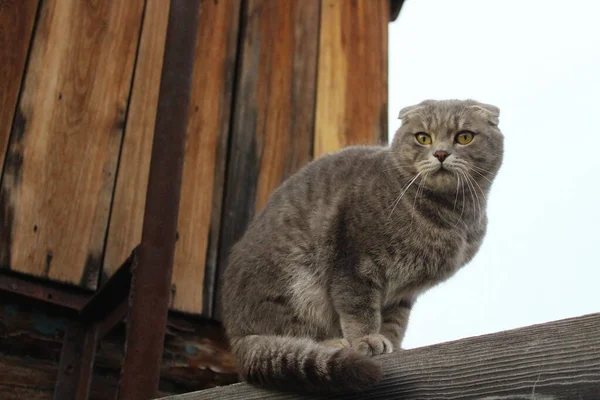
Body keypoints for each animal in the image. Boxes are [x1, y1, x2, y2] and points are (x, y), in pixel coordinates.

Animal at [219, 98, 502, 392]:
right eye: (423, 137)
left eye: (464, 137)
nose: (441, 153)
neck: (450, 215)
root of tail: (237, 336)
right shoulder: (354, 262)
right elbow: (359, 309)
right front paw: (367, 340)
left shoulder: (403, 292)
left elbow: (395, 322)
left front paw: (391, 344)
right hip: (298, 284)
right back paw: (333, 342)